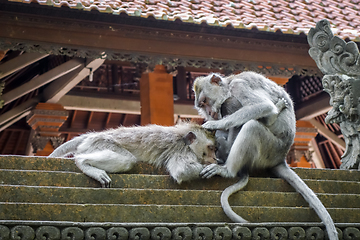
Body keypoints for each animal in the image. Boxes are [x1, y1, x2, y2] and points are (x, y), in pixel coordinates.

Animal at [47, 122, 217, 188]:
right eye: (211, 148)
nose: (215, 158)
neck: (183, 137)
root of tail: (95, 135)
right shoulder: (181, 150)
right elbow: (184, 170)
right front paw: (213, 168)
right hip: (101, 143)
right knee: (128, 160)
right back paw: (83, 163)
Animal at [194, 71, 338, 240]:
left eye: (205, 100)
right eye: (202, 105)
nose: (210, 113)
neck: (229, 85)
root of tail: (281, 158)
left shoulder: (239, 86)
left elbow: (263, 106)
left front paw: (214, 124)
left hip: (270, 149)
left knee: (252, 126)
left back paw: (227, 170)